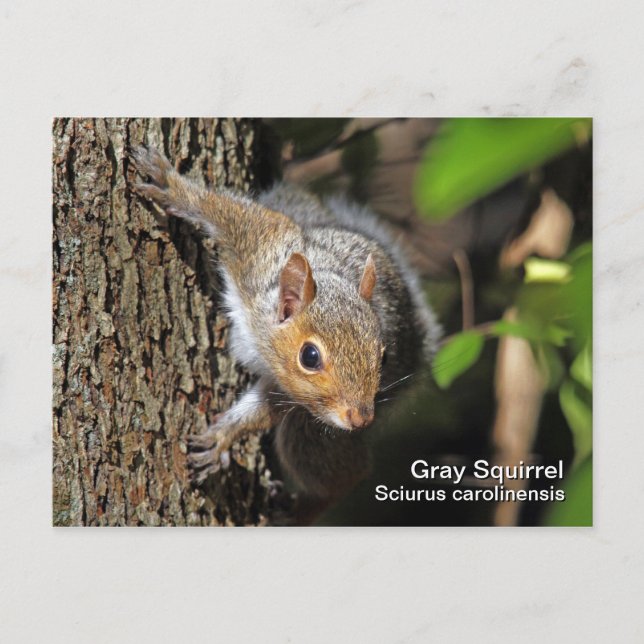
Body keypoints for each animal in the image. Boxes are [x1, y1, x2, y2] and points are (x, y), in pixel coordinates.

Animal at [130, 145, 441, 523]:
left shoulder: (288, 391)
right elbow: (225, 212)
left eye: (382, 356)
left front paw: (224, 436)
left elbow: (265, 408)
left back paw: (299, 513)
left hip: (310, 428)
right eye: (310, 356)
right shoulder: (259, 248)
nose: (361, 418)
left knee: (347, 470)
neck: (260, 326)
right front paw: (172, 186)